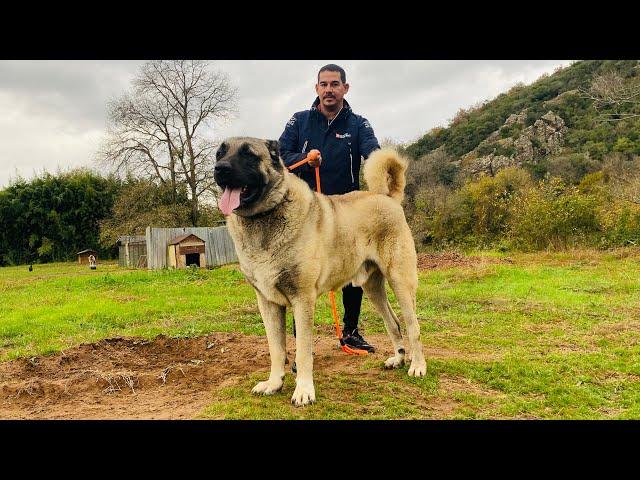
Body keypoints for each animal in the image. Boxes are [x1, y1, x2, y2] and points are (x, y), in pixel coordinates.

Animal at [214, 137, 424, 406]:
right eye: (219, 153)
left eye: (248, 154)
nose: (220, 168)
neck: (263, 217)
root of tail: (387, 197)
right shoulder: (268, 303)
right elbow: (276, 349)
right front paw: (274, 383)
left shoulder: (302, 300)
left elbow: (303, 351)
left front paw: (304, 390)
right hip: (372, 287)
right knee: (394, 322)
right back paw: (398, 358)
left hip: (400, 281)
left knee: (412, 326)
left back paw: (417, 366)